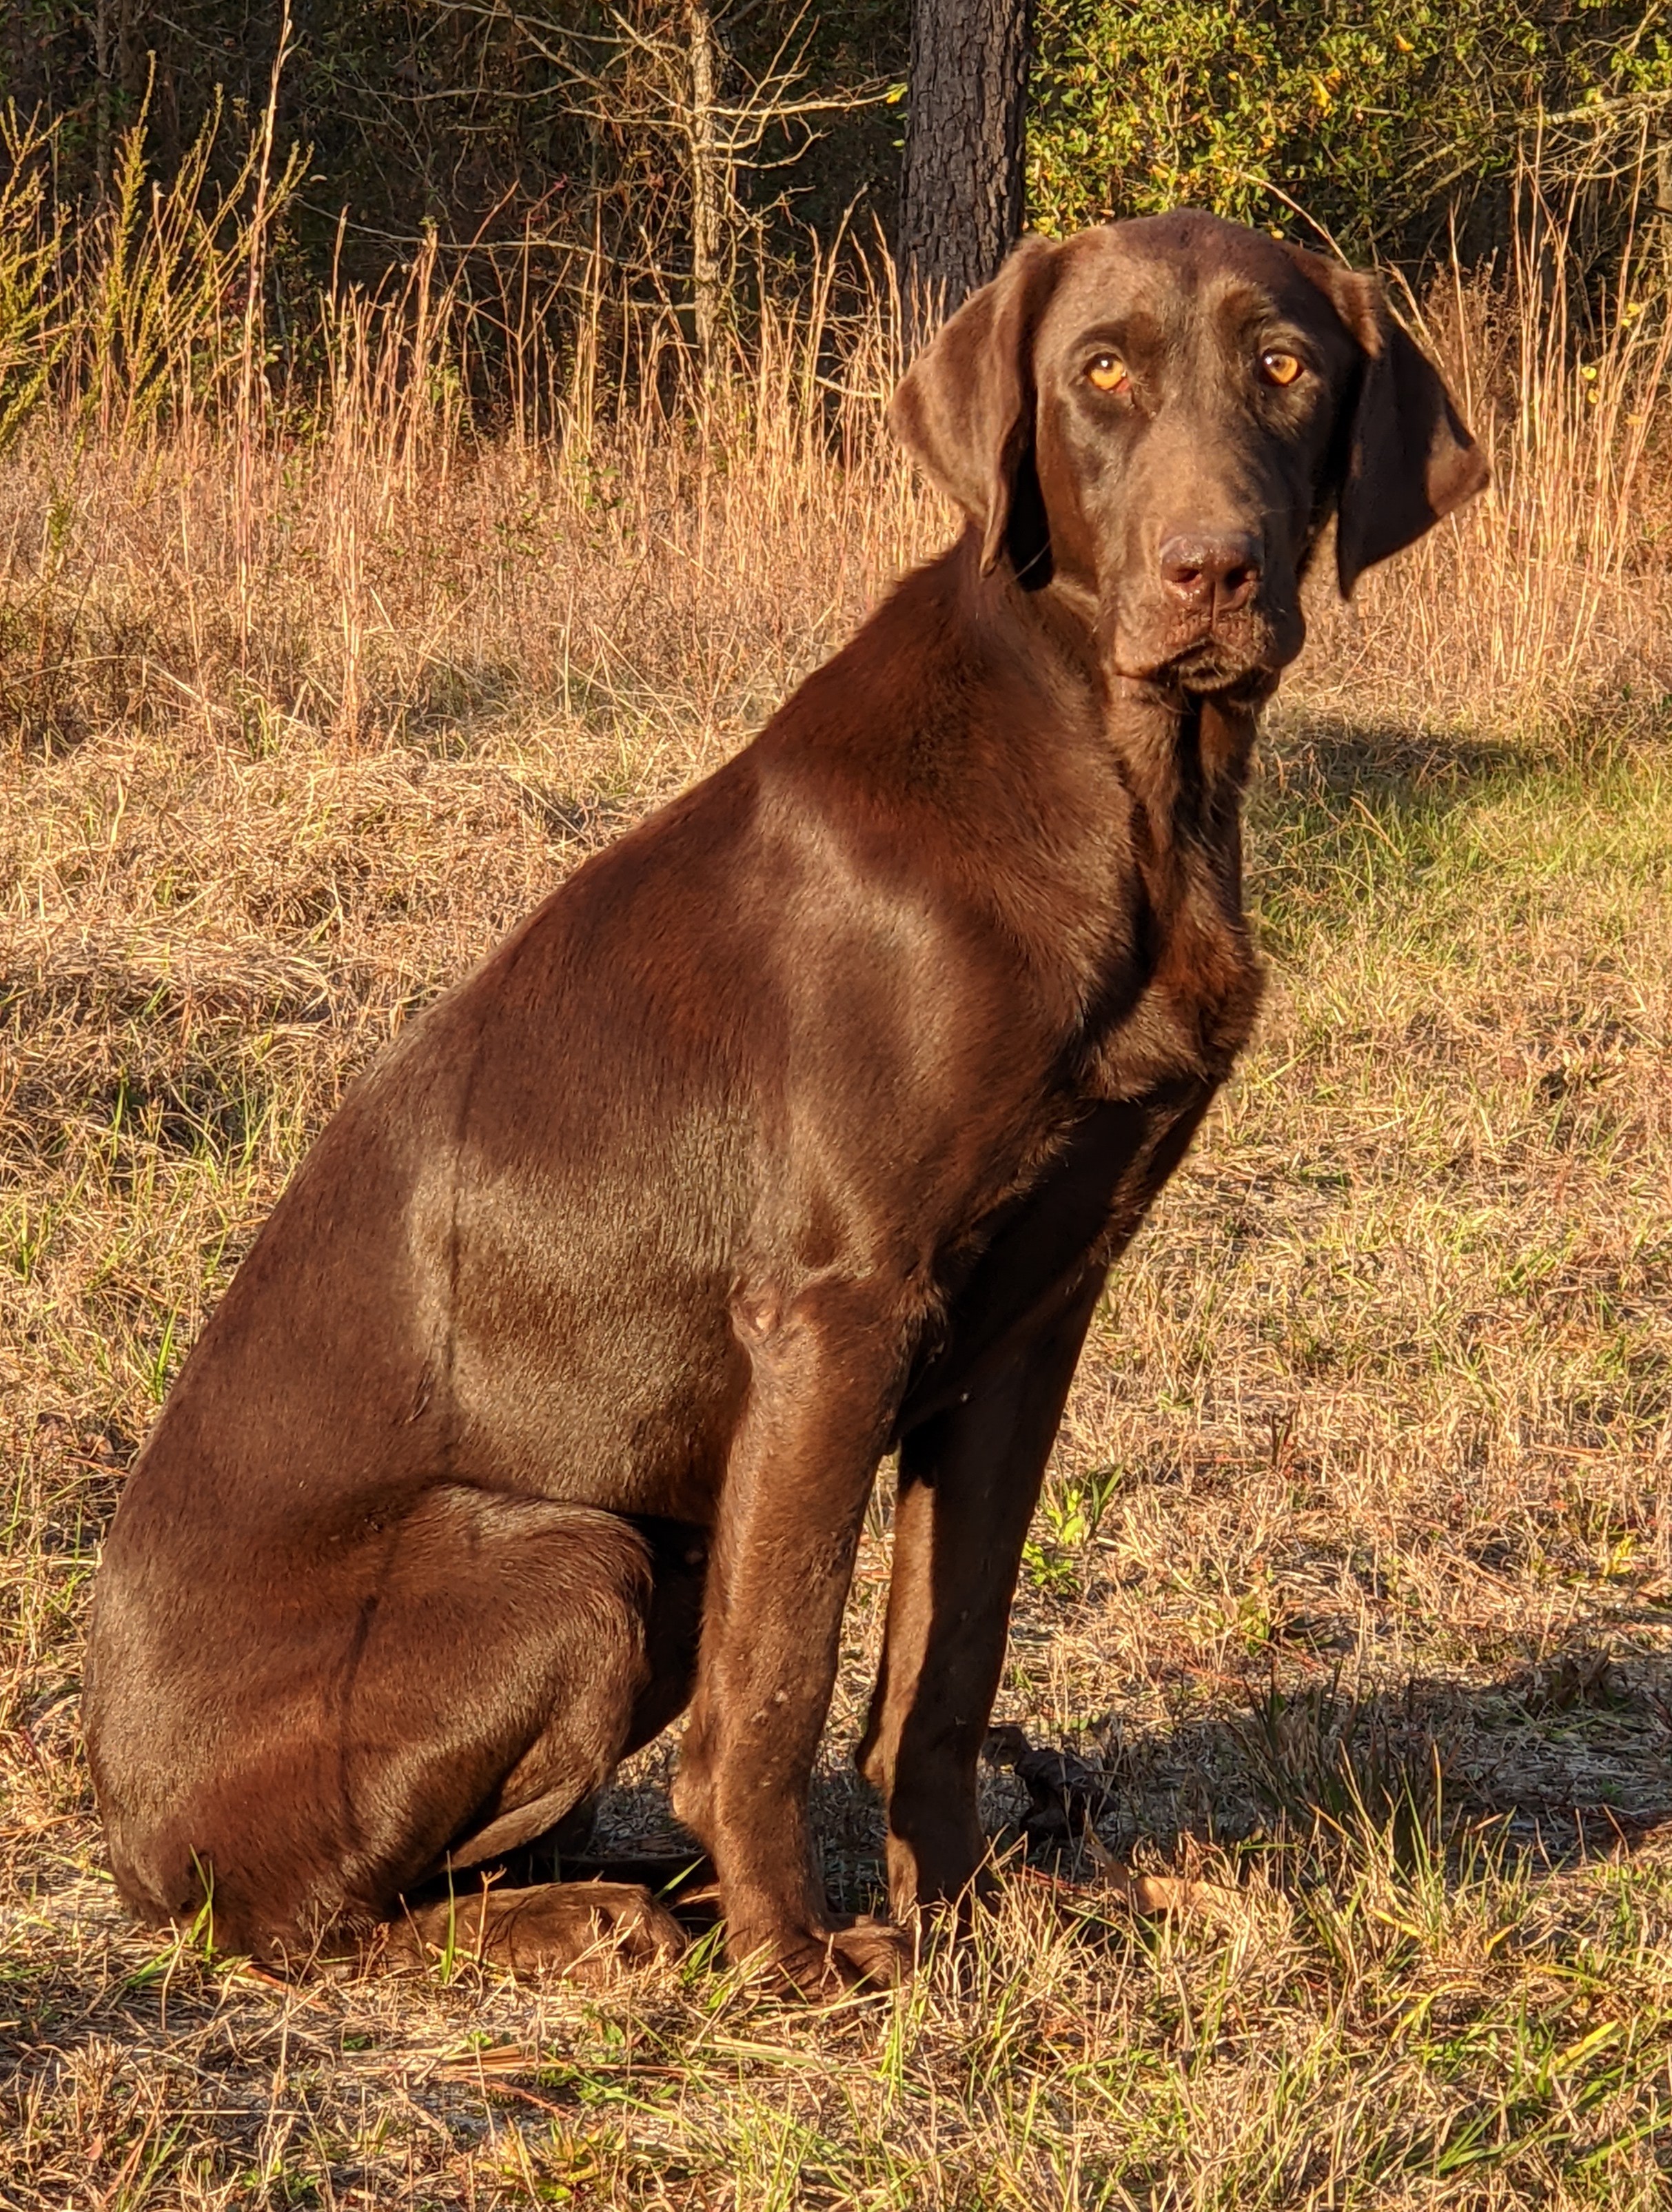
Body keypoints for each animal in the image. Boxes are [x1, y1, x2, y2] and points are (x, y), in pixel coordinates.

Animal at [85, 215, 1486, 1999]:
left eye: (1287, 367)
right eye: (1100, 371)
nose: (1212, 569)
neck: (1125, 783)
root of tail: (124, 1832)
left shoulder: (1030, 1318)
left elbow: (943, 1666)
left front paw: (966, 1913)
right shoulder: (835, 1311)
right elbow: (780, 1682)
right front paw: (793, 1953)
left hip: (658, 1545)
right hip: (577, 1558)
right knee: (316, 1921)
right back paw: (604, 1917)